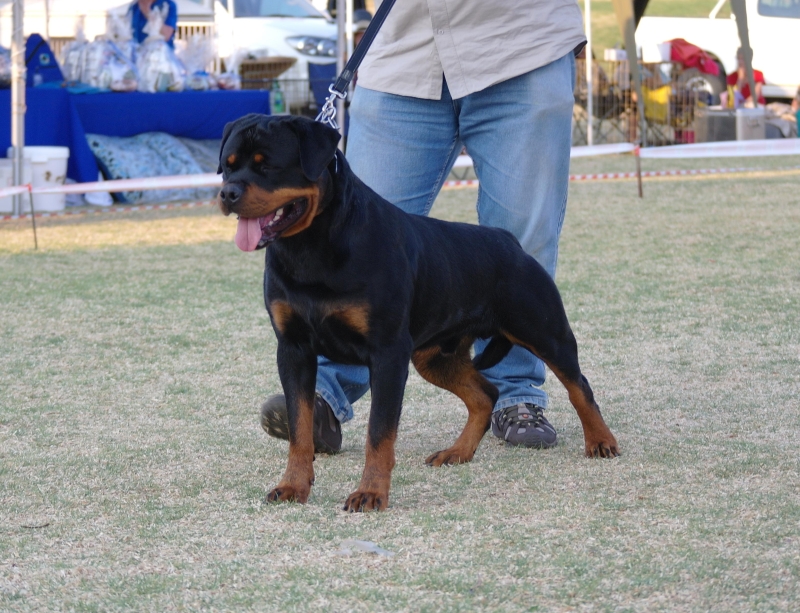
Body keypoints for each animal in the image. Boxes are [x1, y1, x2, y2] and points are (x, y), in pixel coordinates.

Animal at [219, 113, 620, 512]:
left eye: (268, 166)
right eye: (228, 166)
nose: (226, 193)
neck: (310, 248)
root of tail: (510, 242)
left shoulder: (387, 353)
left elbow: (379, 432)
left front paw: (371, 493)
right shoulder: (294, 349)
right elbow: (299, 428)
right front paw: (293, 485)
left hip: (544, 331)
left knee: (578, 386)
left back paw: (601, 442)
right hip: (435, 356)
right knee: (485, 394)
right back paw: (457, 452)